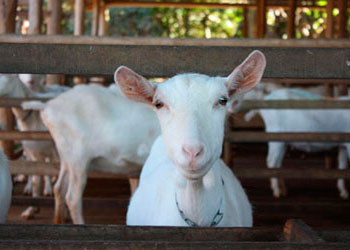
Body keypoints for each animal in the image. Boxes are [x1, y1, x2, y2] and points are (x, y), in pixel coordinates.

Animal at [23, 84, 161, 225]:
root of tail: (48, 106)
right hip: (78, 160)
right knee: (72, 198)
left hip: (66, 158)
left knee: (59, 188)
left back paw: (58, 220)